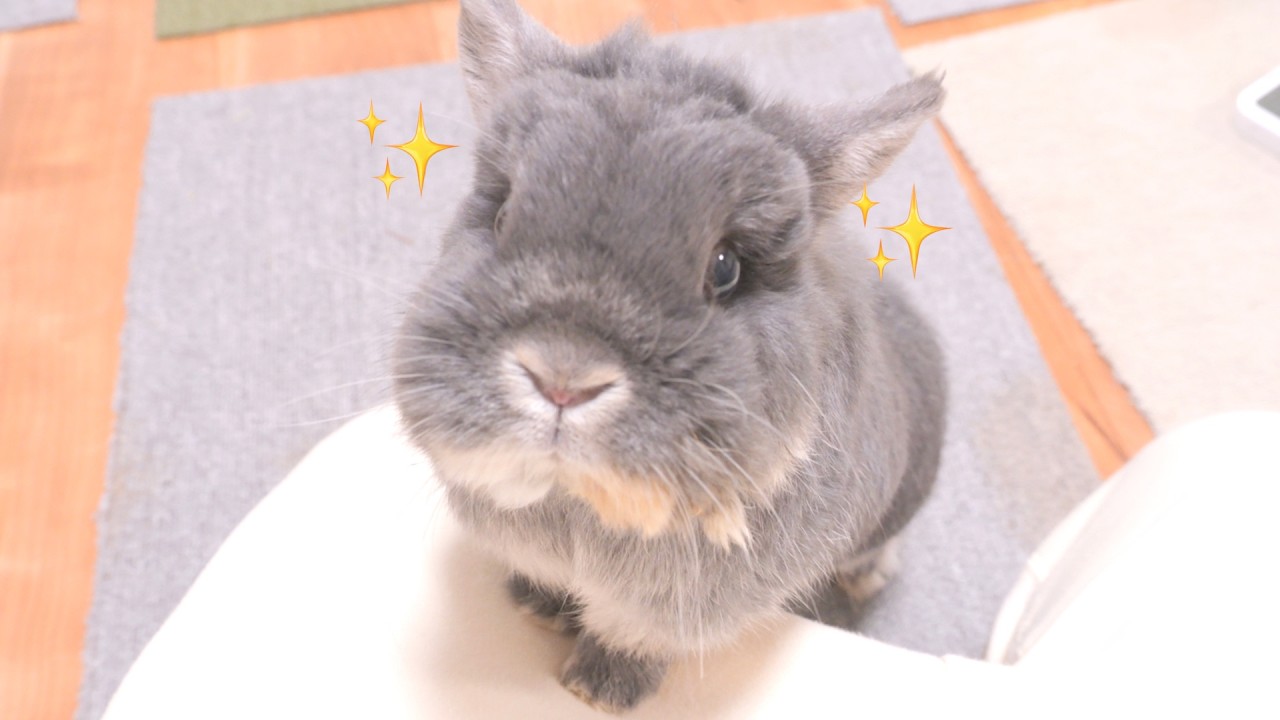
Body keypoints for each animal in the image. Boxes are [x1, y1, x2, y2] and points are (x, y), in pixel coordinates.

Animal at [393, 0, 947, 712]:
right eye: (503, 215)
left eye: (726, 267)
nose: (564, 379)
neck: (581, 499)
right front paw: (536, 607)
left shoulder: (676, 609)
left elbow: (634, 636)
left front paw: (598, 690)